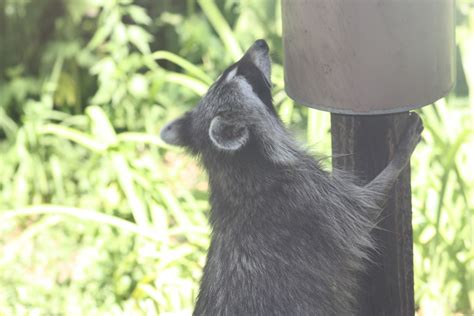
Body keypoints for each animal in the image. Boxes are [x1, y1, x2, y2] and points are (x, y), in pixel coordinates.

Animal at [160, 39, 422, 316]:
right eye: (239, 72)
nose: (261, 43)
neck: (232, 167)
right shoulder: (313, 199)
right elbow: (366, 207)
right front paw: (400, 157)